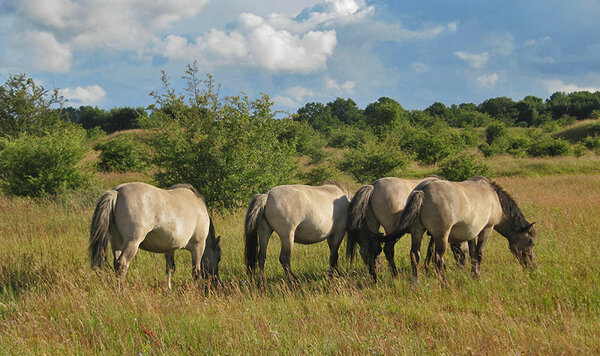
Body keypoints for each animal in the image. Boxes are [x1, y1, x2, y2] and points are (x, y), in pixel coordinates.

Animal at [88, 182, 221, 288]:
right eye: (219, 258)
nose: (216, 281)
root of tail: (117, 192)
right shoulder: (199, 246)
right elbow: (196, 272)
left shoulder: (170, 248)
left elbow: (170, 268)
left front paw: (169, 289)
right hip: (132, 243)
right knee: (122, 264)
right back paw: (121, 290)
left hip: (117, 243)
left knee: (116, 263)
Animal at [386, 178, 536, 286]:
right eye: (531, 242)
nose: (533, 267)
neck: (496, 199)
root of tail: (422, 190)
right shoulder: (487, 229)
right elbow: (479, 253)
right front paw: (477, 275)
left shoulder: (472, 233)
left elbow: (473, 253)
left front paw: (473, 274)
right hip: (441, 235)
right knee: (438, 259)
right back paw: (445, 284)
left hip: (417, 231)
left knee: (414, 255)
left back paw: (415, 283)